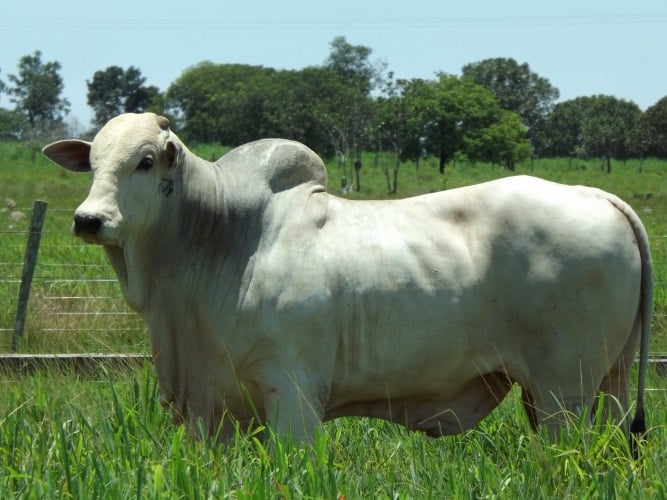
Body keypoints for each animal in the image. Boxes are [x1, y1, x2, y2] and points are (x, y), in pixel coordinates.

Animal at [44, 112, 656, 446]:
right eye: (92, 163)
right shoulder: (214, 408)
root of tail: (595, 195)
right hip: (608, 383)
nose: (88, 219)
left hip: (563, 392)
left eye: (146, 161)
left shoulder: (293, 394)